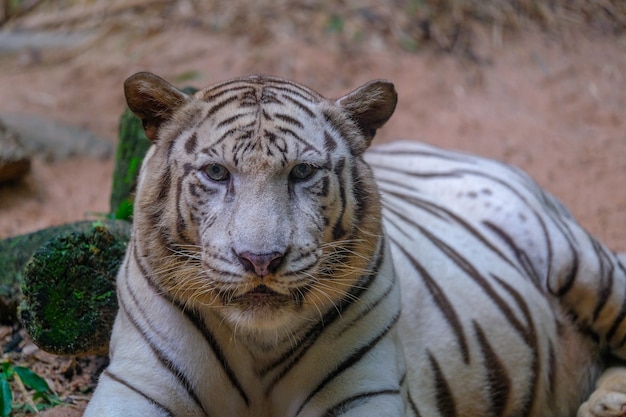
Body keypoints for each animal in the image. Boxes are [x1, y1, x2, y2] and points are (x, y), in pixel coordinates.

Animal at [84, 72, 624, 416]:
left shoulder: (364, 390)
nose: (261, 260)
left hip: (584, 264)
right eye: (217, 173)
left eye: (302, 172)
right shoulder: (137, 385)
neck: (258, 345)